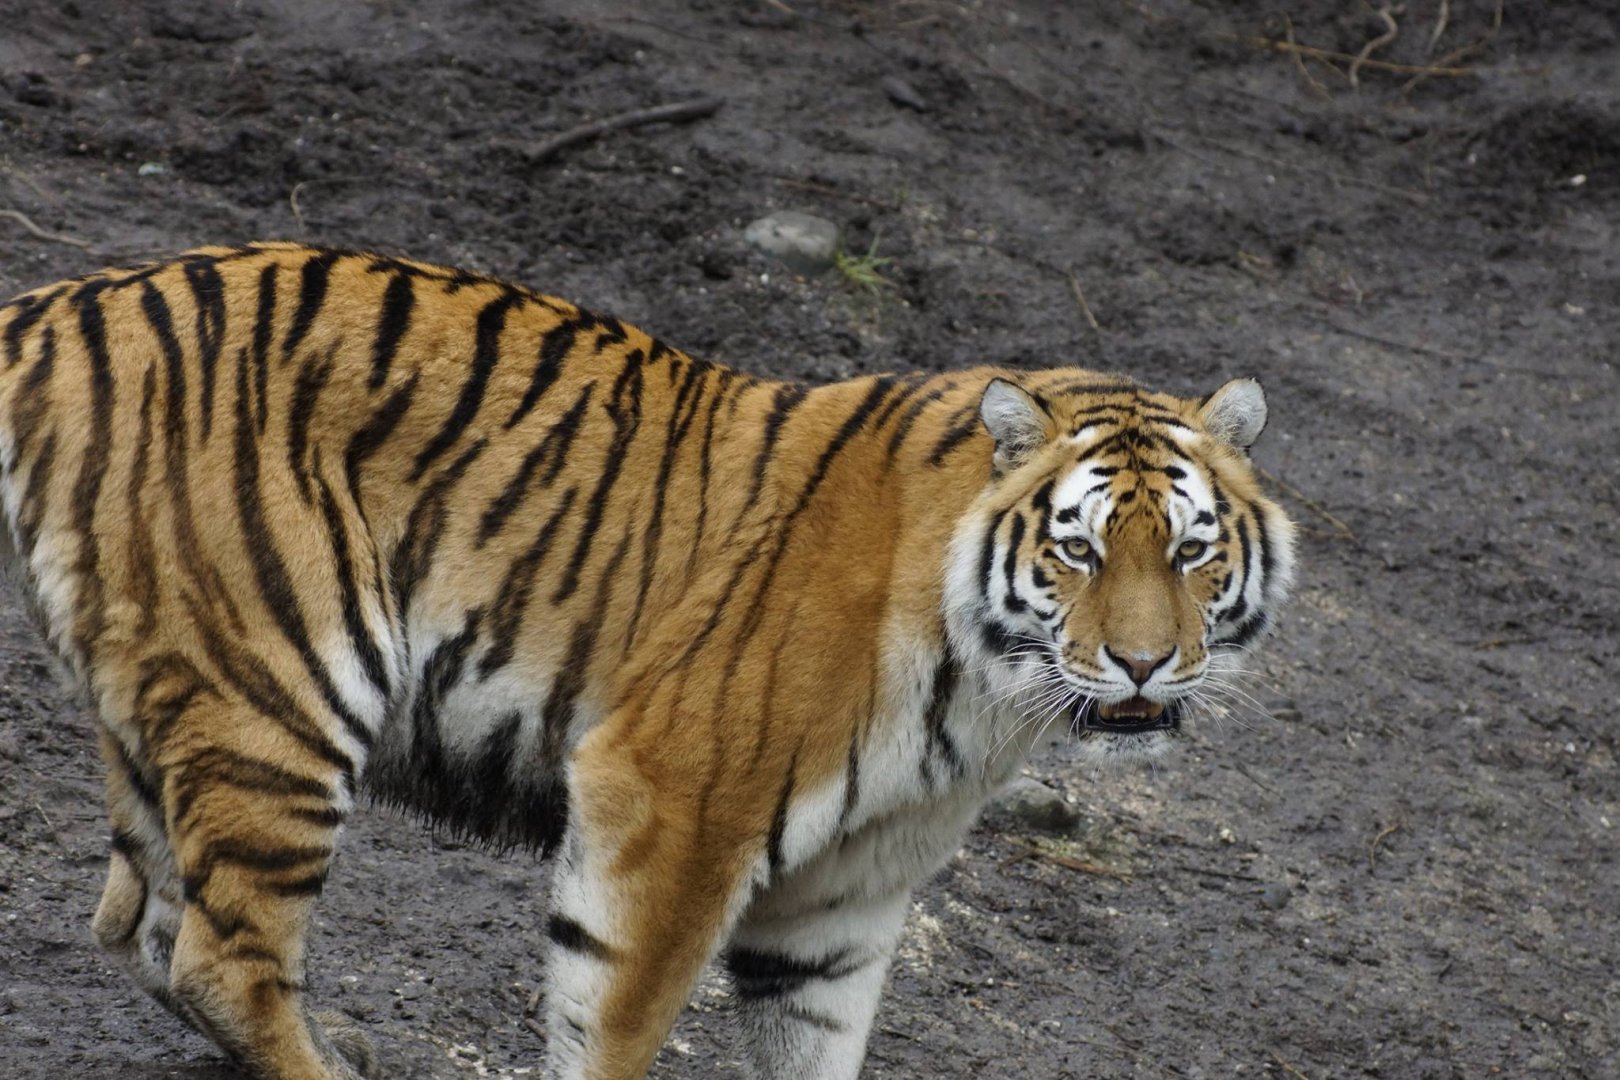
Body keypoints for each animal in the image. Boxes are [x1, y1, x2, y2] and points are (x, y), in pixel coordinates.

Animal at [0, 242, 1295, 1080]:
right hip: (285, 694)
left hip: (173, 710)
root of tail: (64, 302)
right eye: (1079, 550)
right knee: (218, 957)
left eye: (1190, 552)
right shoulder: (672, 807)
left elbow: (812, 1055)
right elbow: (614, 1026)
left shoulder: (845, 898)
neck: (984, 698)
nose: (1142, 665)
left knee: (138, 923)